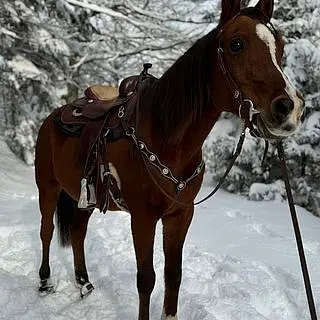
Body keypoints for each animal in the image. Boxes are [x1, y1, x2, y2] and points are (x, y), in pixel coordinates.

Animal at [35, 0, 304, 318]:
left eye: (280, 46)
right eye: (236, 44)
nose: (290, 108)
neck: (165, 139)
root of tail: (54, 115)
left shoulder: (180, 215)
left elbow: (173, 274)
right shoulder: (143, 218)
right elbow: (146, 279)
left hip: (83, 197)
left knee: (78, 232)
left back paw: (84, 283)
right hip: (48, 188)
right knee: (47, 231)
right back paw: (45, 282)